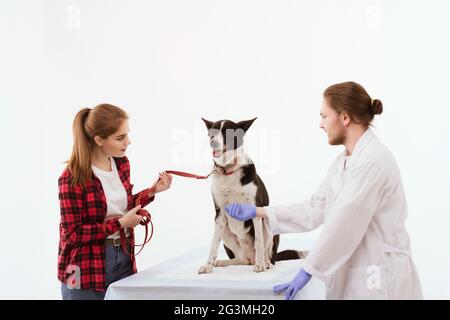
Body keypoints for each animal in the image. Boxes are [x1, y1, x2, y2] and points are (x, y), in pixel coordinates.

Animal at [200, 119, 308, 274]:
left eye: (227, 132)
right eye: (212, 133)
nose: (212, 142)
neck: (229, 170)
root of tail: (250, 257)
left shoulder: (255, 210)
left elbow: (259, 241)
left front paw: (260, 265)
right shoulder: (219, 215)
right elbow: (214, 243)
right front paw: (208, 265)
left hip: (268, 224)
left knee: (268, 254)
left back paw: (265, 262)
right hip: (227, 232)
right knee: (242, 259)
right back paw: (225, 262)